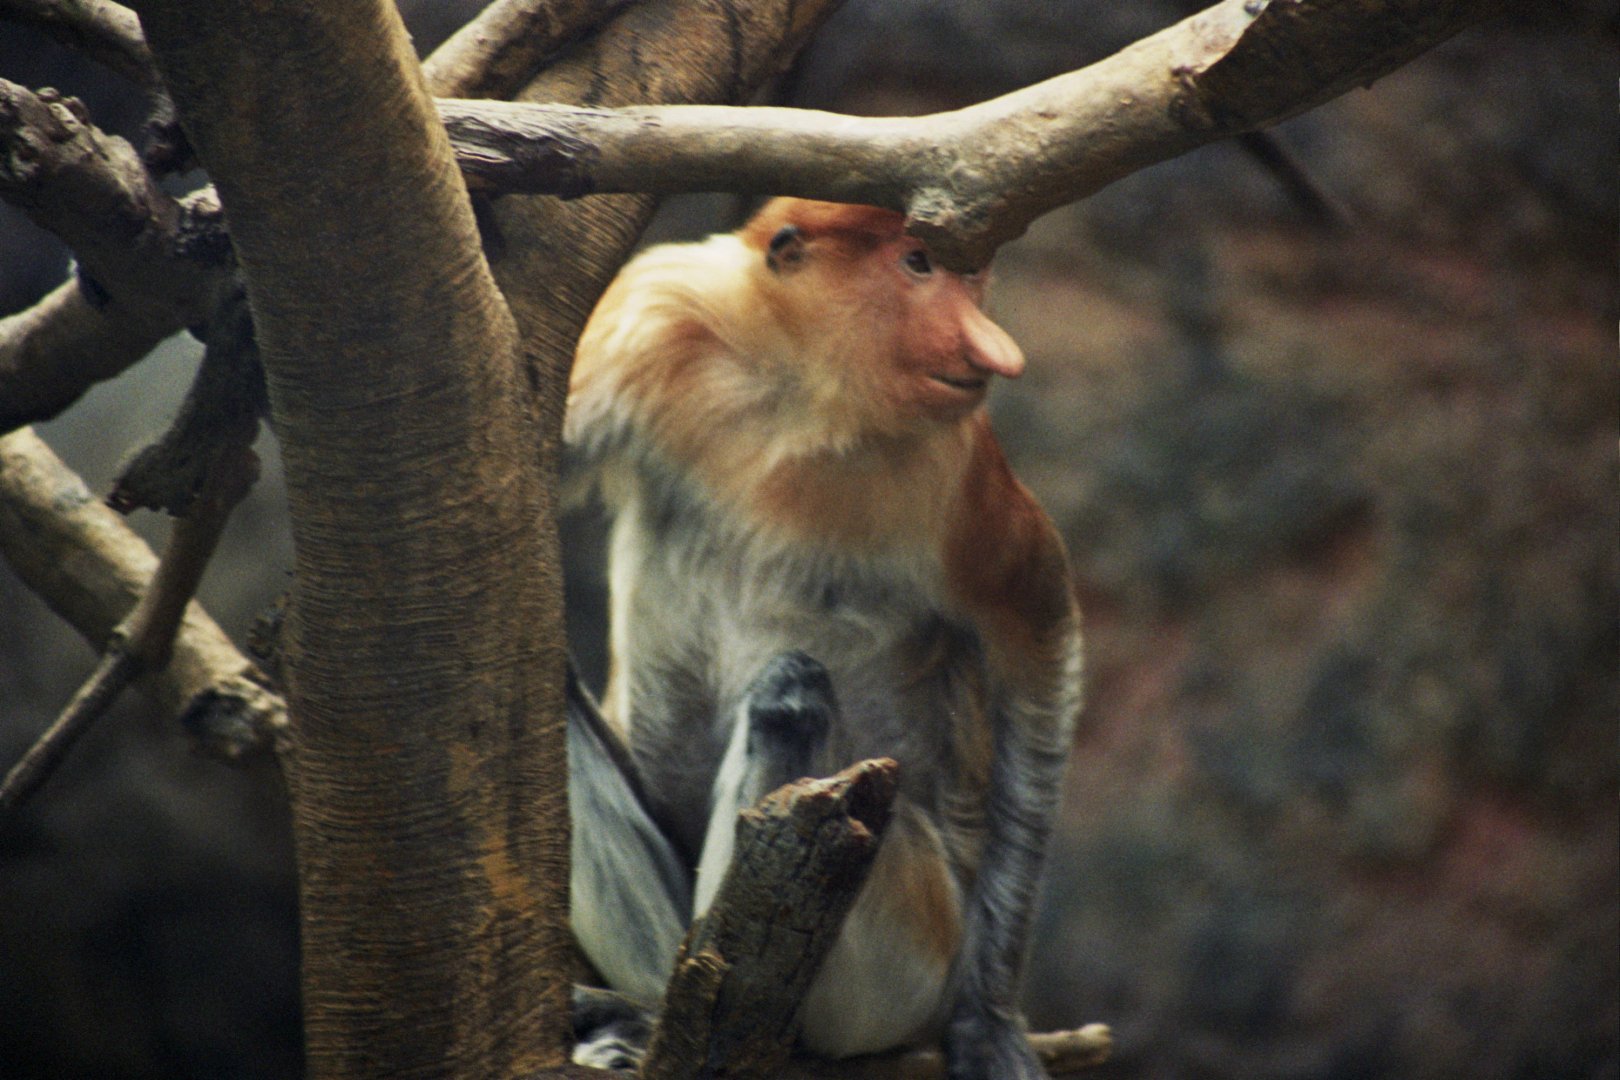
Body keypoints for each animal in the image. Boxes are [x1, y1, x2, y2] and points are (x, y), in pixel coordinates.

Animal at [564, 198, 1082, 1079]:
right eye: (917, 265)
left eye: (970, 273)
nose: (993, 348)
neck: (801, 400)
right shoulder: (654, 311)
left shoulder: (957, 475)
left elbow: (1037, 643)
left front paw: (988, 1022)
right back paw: (647, 1012)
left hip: (910, 942)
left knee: (793, 695)